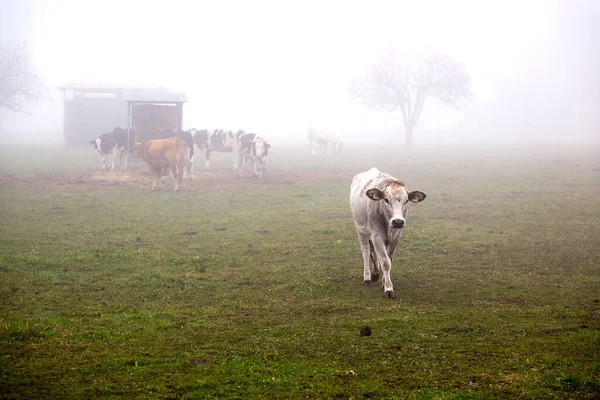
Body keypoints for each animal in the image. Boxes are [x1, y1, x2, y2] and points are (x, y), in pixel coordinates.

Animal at [346, 167, 426, 298]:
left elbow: (389, 259)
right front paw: (388, 289)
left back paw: (375, 273)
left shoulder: (395, 238)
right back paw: (367, 277)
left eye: (406, 200)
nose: (398, 221)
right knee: (366, 251)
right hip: (360, 228)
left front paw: (384, 281)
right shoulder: (377, 236)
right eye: (386, 199)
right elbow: (385, 262)